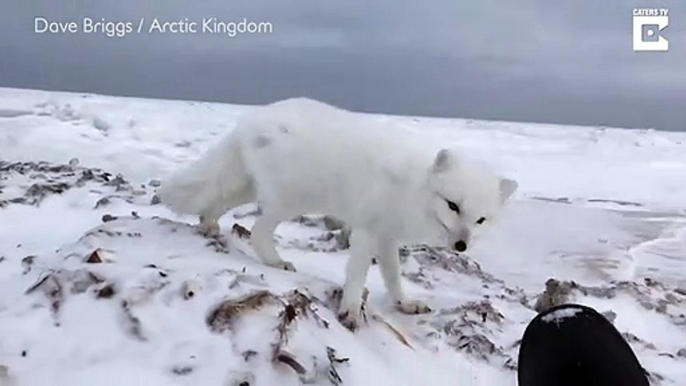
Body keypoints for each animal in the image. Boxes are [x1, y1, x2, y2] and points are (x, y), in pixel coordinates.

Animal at [159, 98, 520, 330]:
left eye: (480, 219)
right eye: (453, 205)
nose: (461, 245)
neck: (414, 189)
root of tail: (252, 119)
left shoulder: (387, 237)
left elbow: (393, 276)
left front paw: (404, 304)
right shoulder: (368, 230)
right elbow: (357, 274)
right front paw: (349, 311)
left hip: (247, 186)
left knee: (216, 201)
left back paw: (208, 226)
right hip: (291, 200)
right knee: (259, 229)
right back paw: (275, 262)